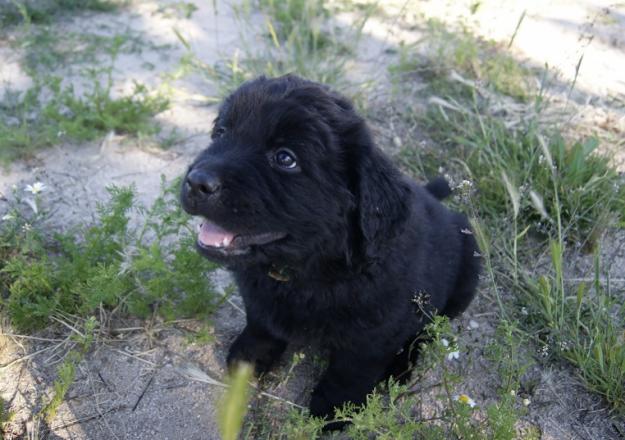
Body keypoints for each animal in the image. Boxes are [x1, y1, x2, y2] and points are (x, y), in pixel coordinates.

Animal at [178, 74, 480, 424]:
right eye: (221, 132)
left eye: (285, 158)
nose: (197, 182)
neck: (308, 268)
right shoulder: (259, 296)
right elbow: (261, 324)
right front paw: (247, 360)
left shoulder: (374, 335)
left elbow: (347, 374)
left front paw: (333, 413)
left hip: (464, 280)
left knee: (425, 333)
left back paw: (399, 369)